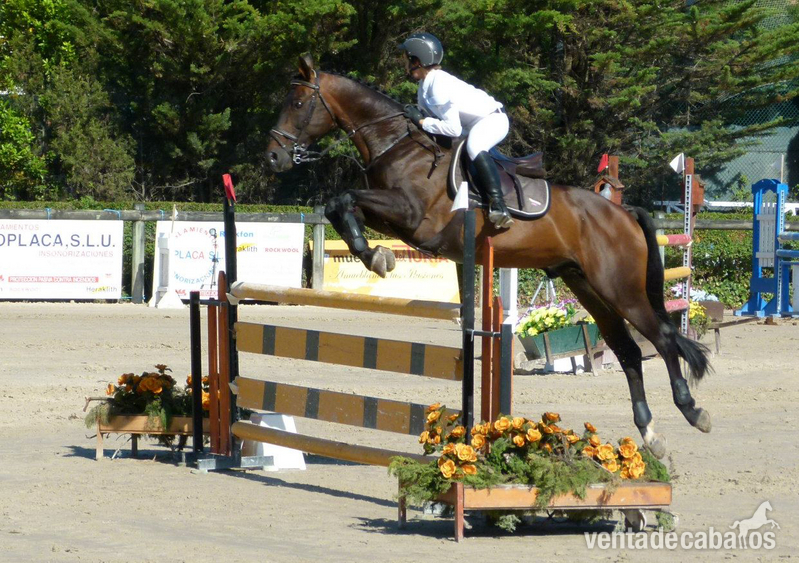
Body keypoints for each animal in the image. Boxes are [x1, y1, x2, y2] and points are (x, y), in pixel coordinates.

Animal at [266, 54, 712, 458]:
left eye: (299, 103)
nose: (273, 157)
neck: (396, 145)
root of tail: (622, 212)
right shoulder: (391, 216)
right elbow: (338, 206)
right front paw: (374, 255)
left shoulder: (412, 216)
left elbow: (342, 199)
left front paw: (376, 257)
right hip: (587, 286)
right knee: (629, 350)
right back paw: (650, 434)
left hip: (621, 289)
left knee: (663, 338)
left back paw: (692, 411)